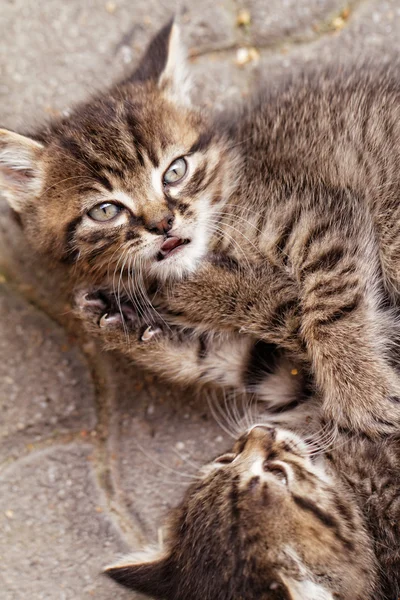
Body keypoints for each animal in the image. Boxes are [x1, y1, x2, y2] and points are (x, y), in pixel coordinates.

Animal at [2, 19, 400, 436]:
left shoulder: (323, 217)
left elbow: (326, 305)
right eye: (106, 210)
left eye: (175, 171)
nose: (163, 223)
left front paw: (361, 390)